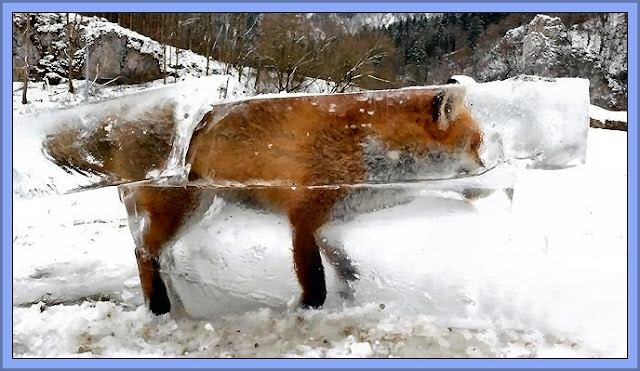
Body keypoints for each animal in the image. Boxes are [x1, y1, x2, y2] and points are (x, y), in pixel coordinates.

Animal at [43, 85, 484, 316]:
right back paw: (159, 305)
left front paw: (353, 290)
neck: (365, 148)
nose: (486, 173)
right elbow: (315, 279)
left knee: (152, 250)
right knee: (143, 252)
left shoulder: (329, 223)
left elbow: (345, 265)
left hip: (194, 211)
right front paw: (308, 308)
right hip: (182, 208)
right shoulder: (303, 217)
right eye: (477, 146)